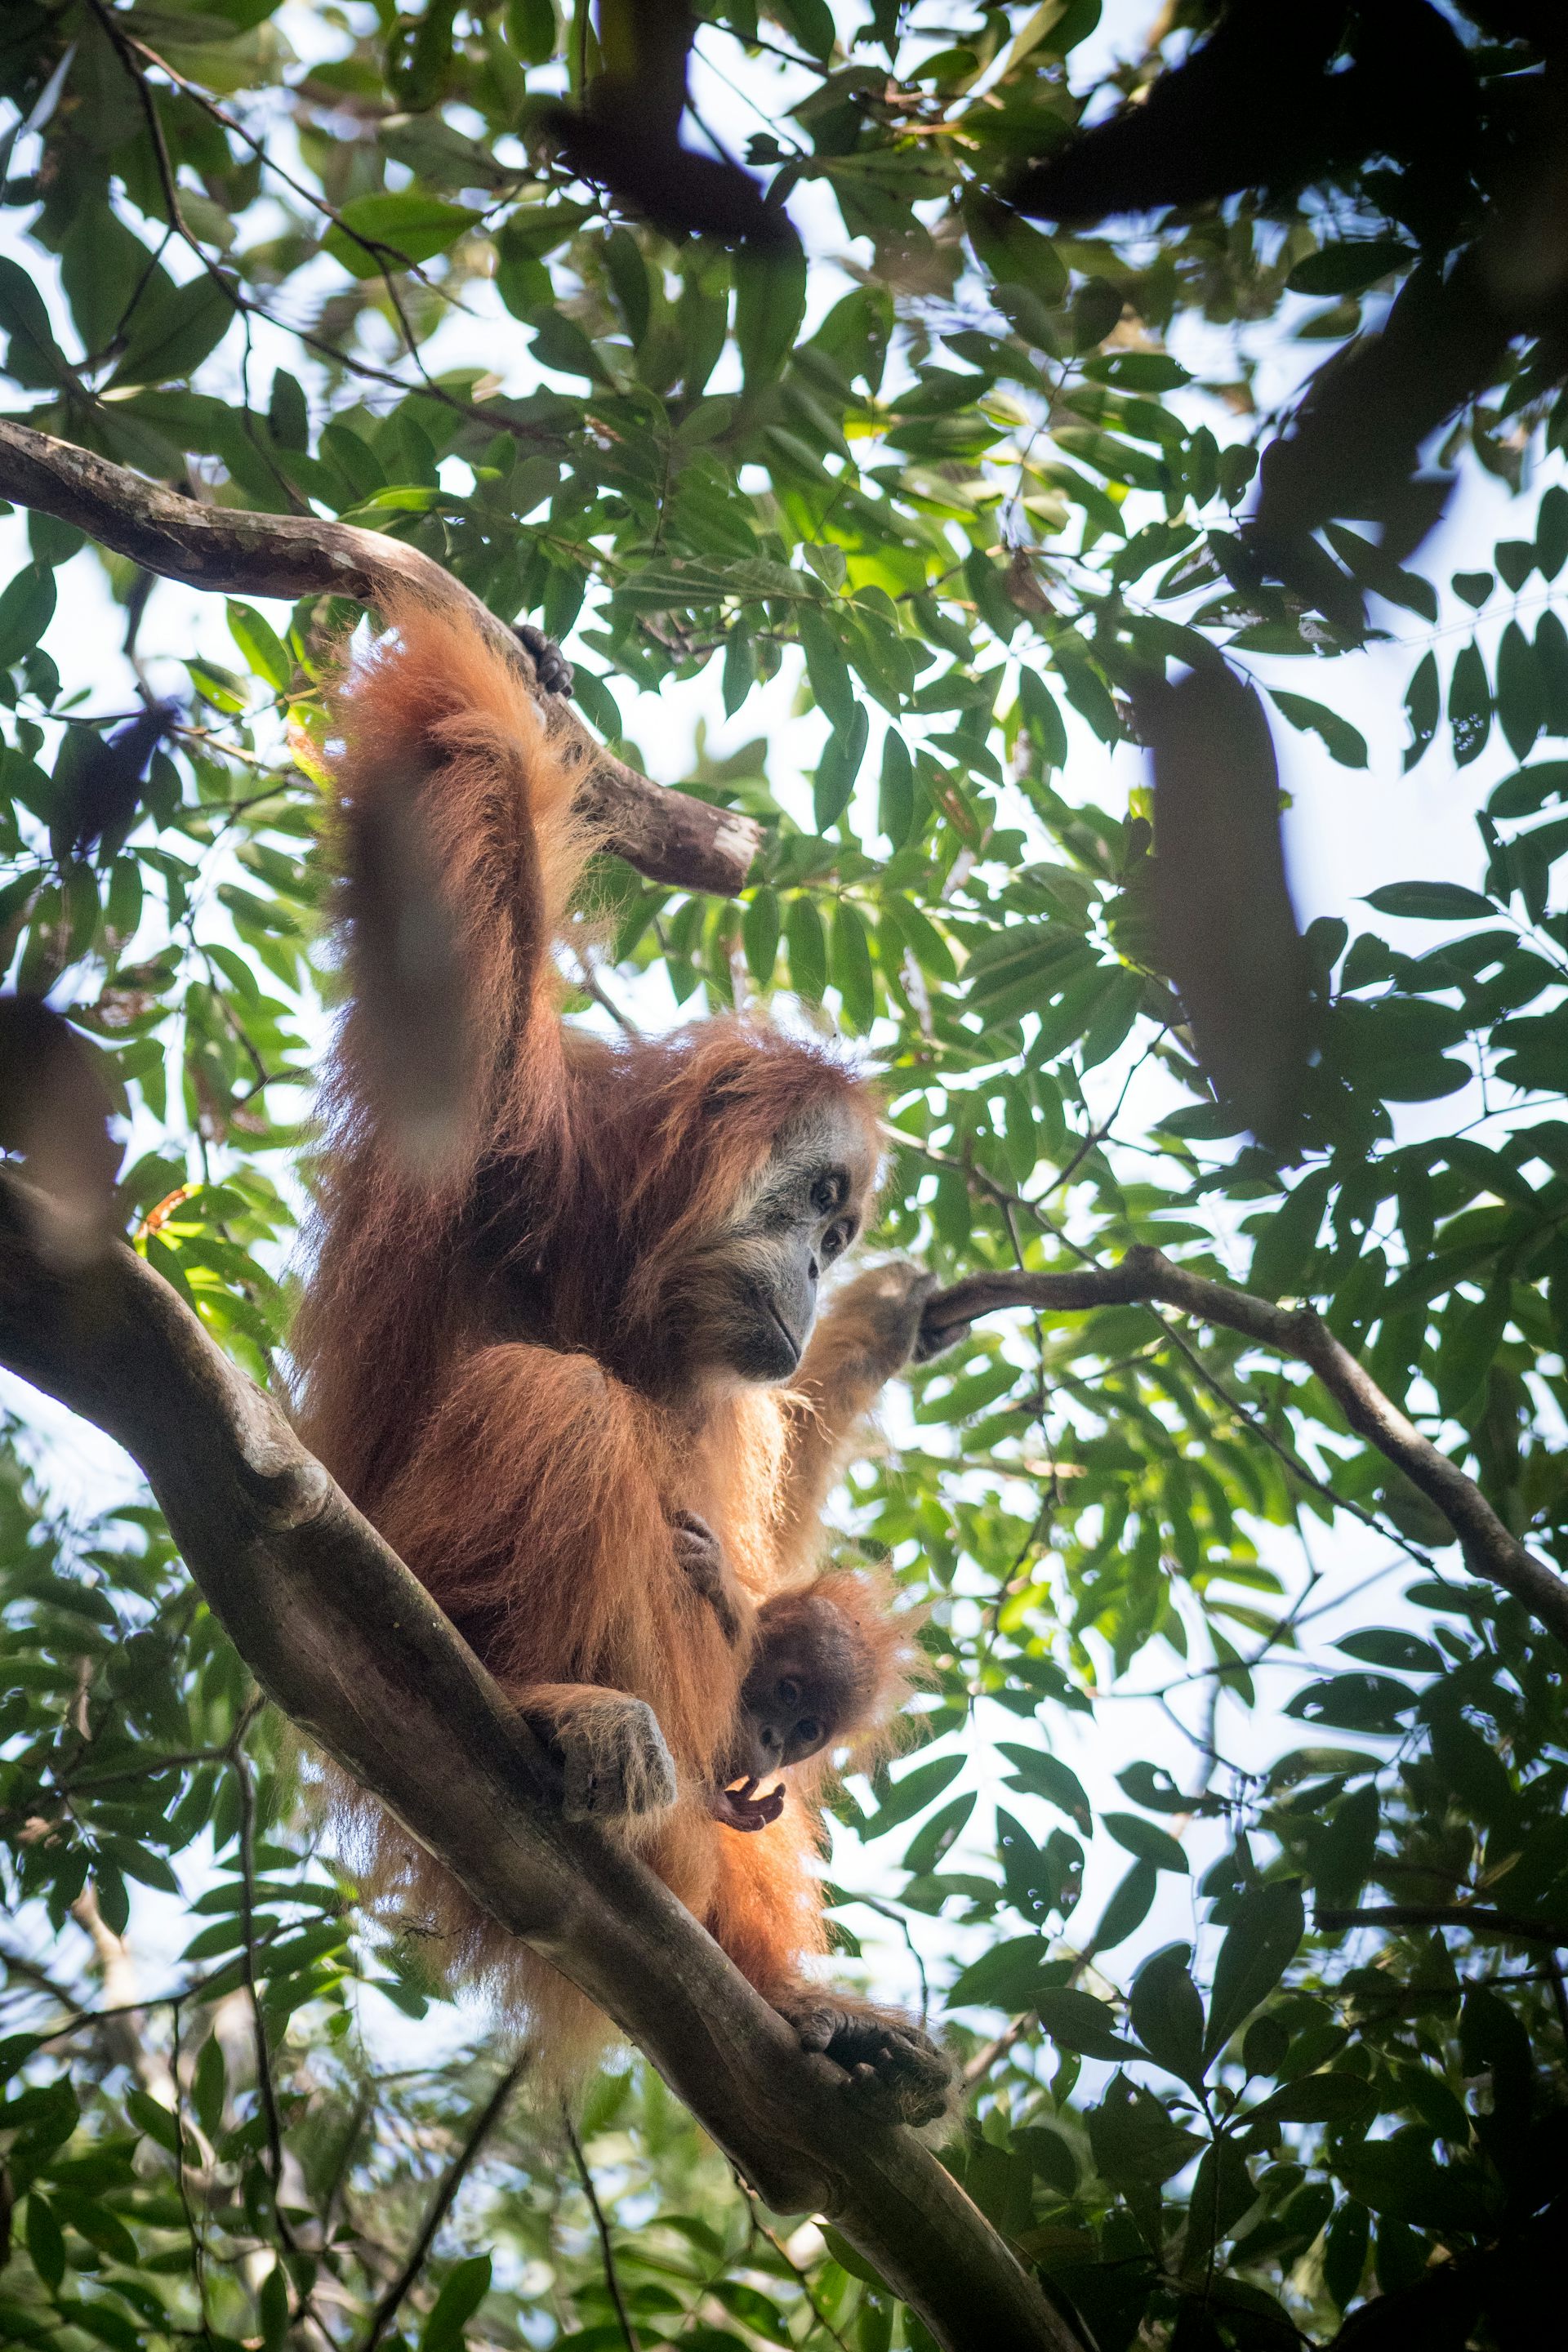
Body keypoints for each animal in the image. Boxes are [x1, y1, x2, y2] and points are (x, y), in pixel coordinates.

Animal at [292, 596, 951, 2122]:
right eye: (816, 1205)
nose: (824, 1268)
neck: (616, 1274)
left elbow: (770, 1553)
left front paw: (876, 1330)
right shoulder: (497, 1136)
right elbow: (466, 836)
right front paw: (513, 679)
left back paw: (793, 2001)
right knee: (557, 1397)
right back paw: (558, 1708)